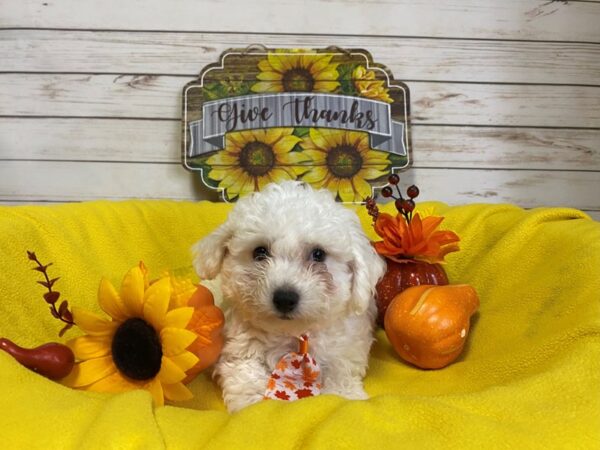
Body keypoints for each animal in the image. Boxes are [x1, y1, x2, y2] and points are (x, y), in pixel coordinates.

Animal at [192, 181, 384, 414]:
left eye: (318, 254)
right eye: (260, 252)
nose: (284, 298)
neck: (294, 335)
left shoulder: (345, 349)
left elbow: (340, 373)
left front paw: (346, 395)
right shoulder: (239, 350)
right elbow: (246, 376)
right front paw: (254, 405)